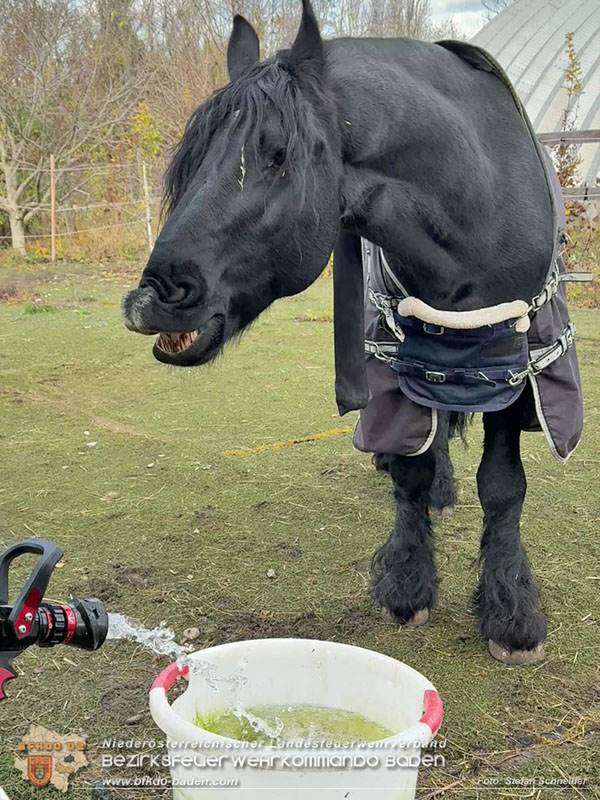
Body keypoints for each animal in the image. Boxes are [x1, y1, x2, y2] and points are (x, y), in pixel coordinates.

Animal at [122, 0, 563, 665]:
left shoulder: (518, 368)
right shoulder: (399, 362)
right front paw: (407, 585)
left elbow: (503, 488)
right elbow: (410, 471)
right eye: (191, 160)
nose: (152, 297)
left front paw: (511, 616)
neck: (479, 205)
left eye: (278, 154)